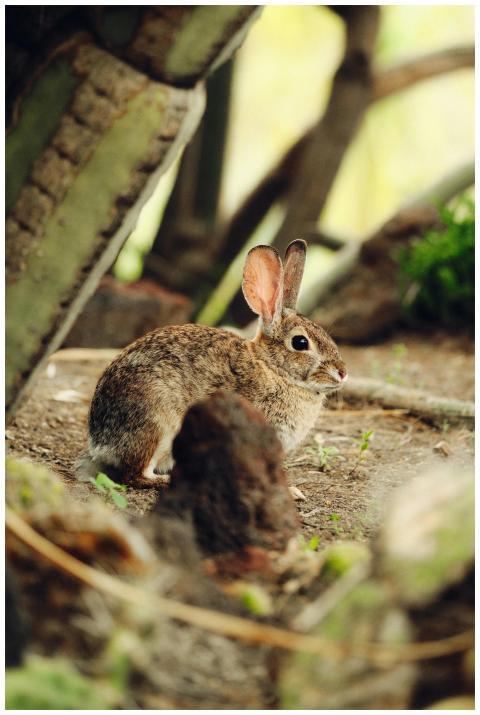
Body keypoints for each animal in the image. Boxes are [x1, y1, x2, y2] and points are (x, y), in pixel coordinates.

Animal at [76, 239, 347, 488]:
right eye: (300, 343)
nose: (342, 373)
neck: (272, 367)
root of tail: (99, 440)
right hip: (157, 422)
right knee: (134, 474)